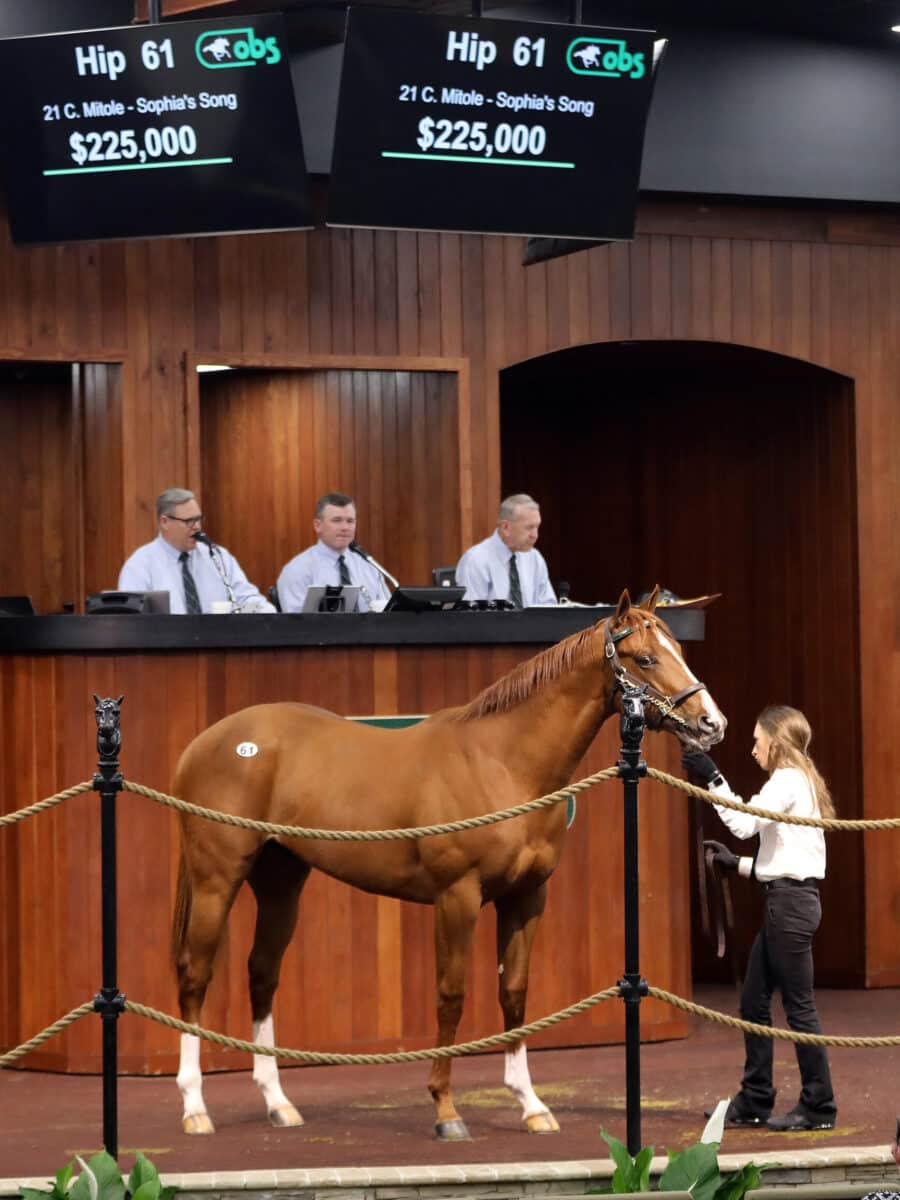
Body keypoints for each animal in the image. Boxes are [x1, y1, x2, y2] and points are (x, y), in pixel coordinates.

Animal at [172, 588, 729, 1132]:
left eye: (679, 650)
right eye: (646, 658)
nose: (712, 723)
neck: (503, 764)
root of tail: (206, 743)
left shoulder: (527, 897)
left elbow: (514, 993)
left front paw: (531, 1104)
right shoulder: (456, 896)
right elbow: (451, 995)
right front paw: (445, 1109)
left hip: (281, 880)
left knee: (262, 972)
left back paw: (278, 1102)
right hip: (217, 880)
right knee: (195, 974)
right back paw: (195, 1107)